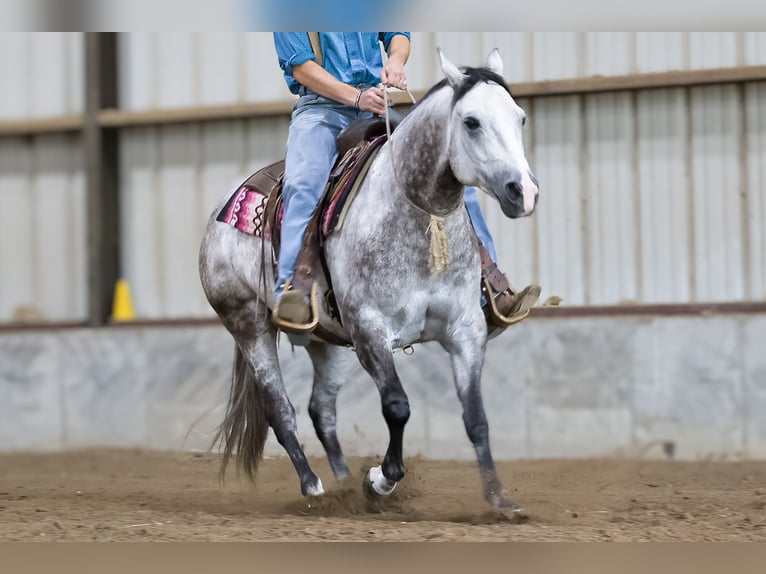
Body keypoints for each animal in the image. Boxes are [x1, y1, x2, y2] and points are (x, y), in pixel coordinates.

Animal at [198, 48, 539, 519]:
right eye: (471, 122)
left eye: (519, 118)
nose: (523, 192)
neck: (413, 212)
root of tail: (222, 209)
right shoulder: (369, 329)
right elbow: (397, 407)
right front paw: (380, 480)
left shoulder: (465, 331)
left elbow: (476, 417)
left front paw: (499, 500)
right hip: (249, 326)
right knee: (280, 410)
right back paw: (315, 488)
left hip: (327, 342)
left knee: (321, 410)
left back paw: (342, 484)